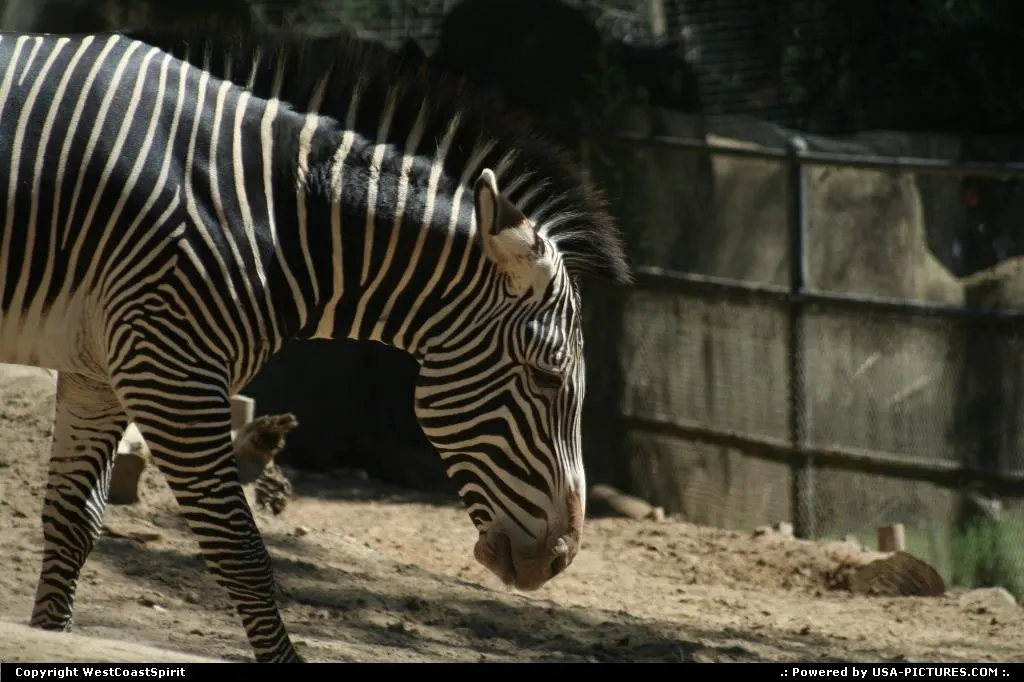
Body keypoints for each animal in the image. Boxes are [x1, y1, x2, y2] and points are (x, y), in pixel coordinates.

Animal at [0, 29, 631, 662]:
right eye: (547, 378)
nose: (559, 558)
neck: (272, 224)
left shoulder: (98, 372)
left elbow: (74, 526)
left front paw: (50, 641)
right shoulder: (169, 371)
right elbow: (240, 550)